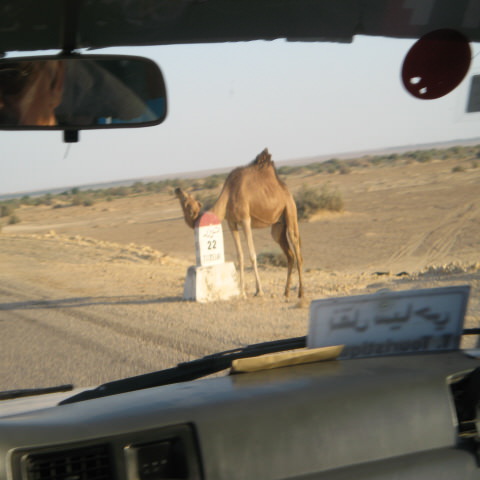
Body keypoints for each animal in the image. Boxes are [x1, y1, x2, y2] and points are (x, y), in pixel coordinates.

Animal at [176, 148, 304, 298]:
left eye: (186, 200)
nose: (177, 189)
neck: (229, 195)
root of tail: (287, 191)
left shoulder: (245, 220)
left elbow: (252, 255)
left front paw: (259, 291)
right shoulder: (232, 223)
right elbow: (240, 255)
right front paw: (242, 292)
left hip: (290, 210)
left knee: (297, 249)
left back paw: (301, 292)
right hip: (278, 226)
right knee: (289, 255)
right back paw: (286, 292)